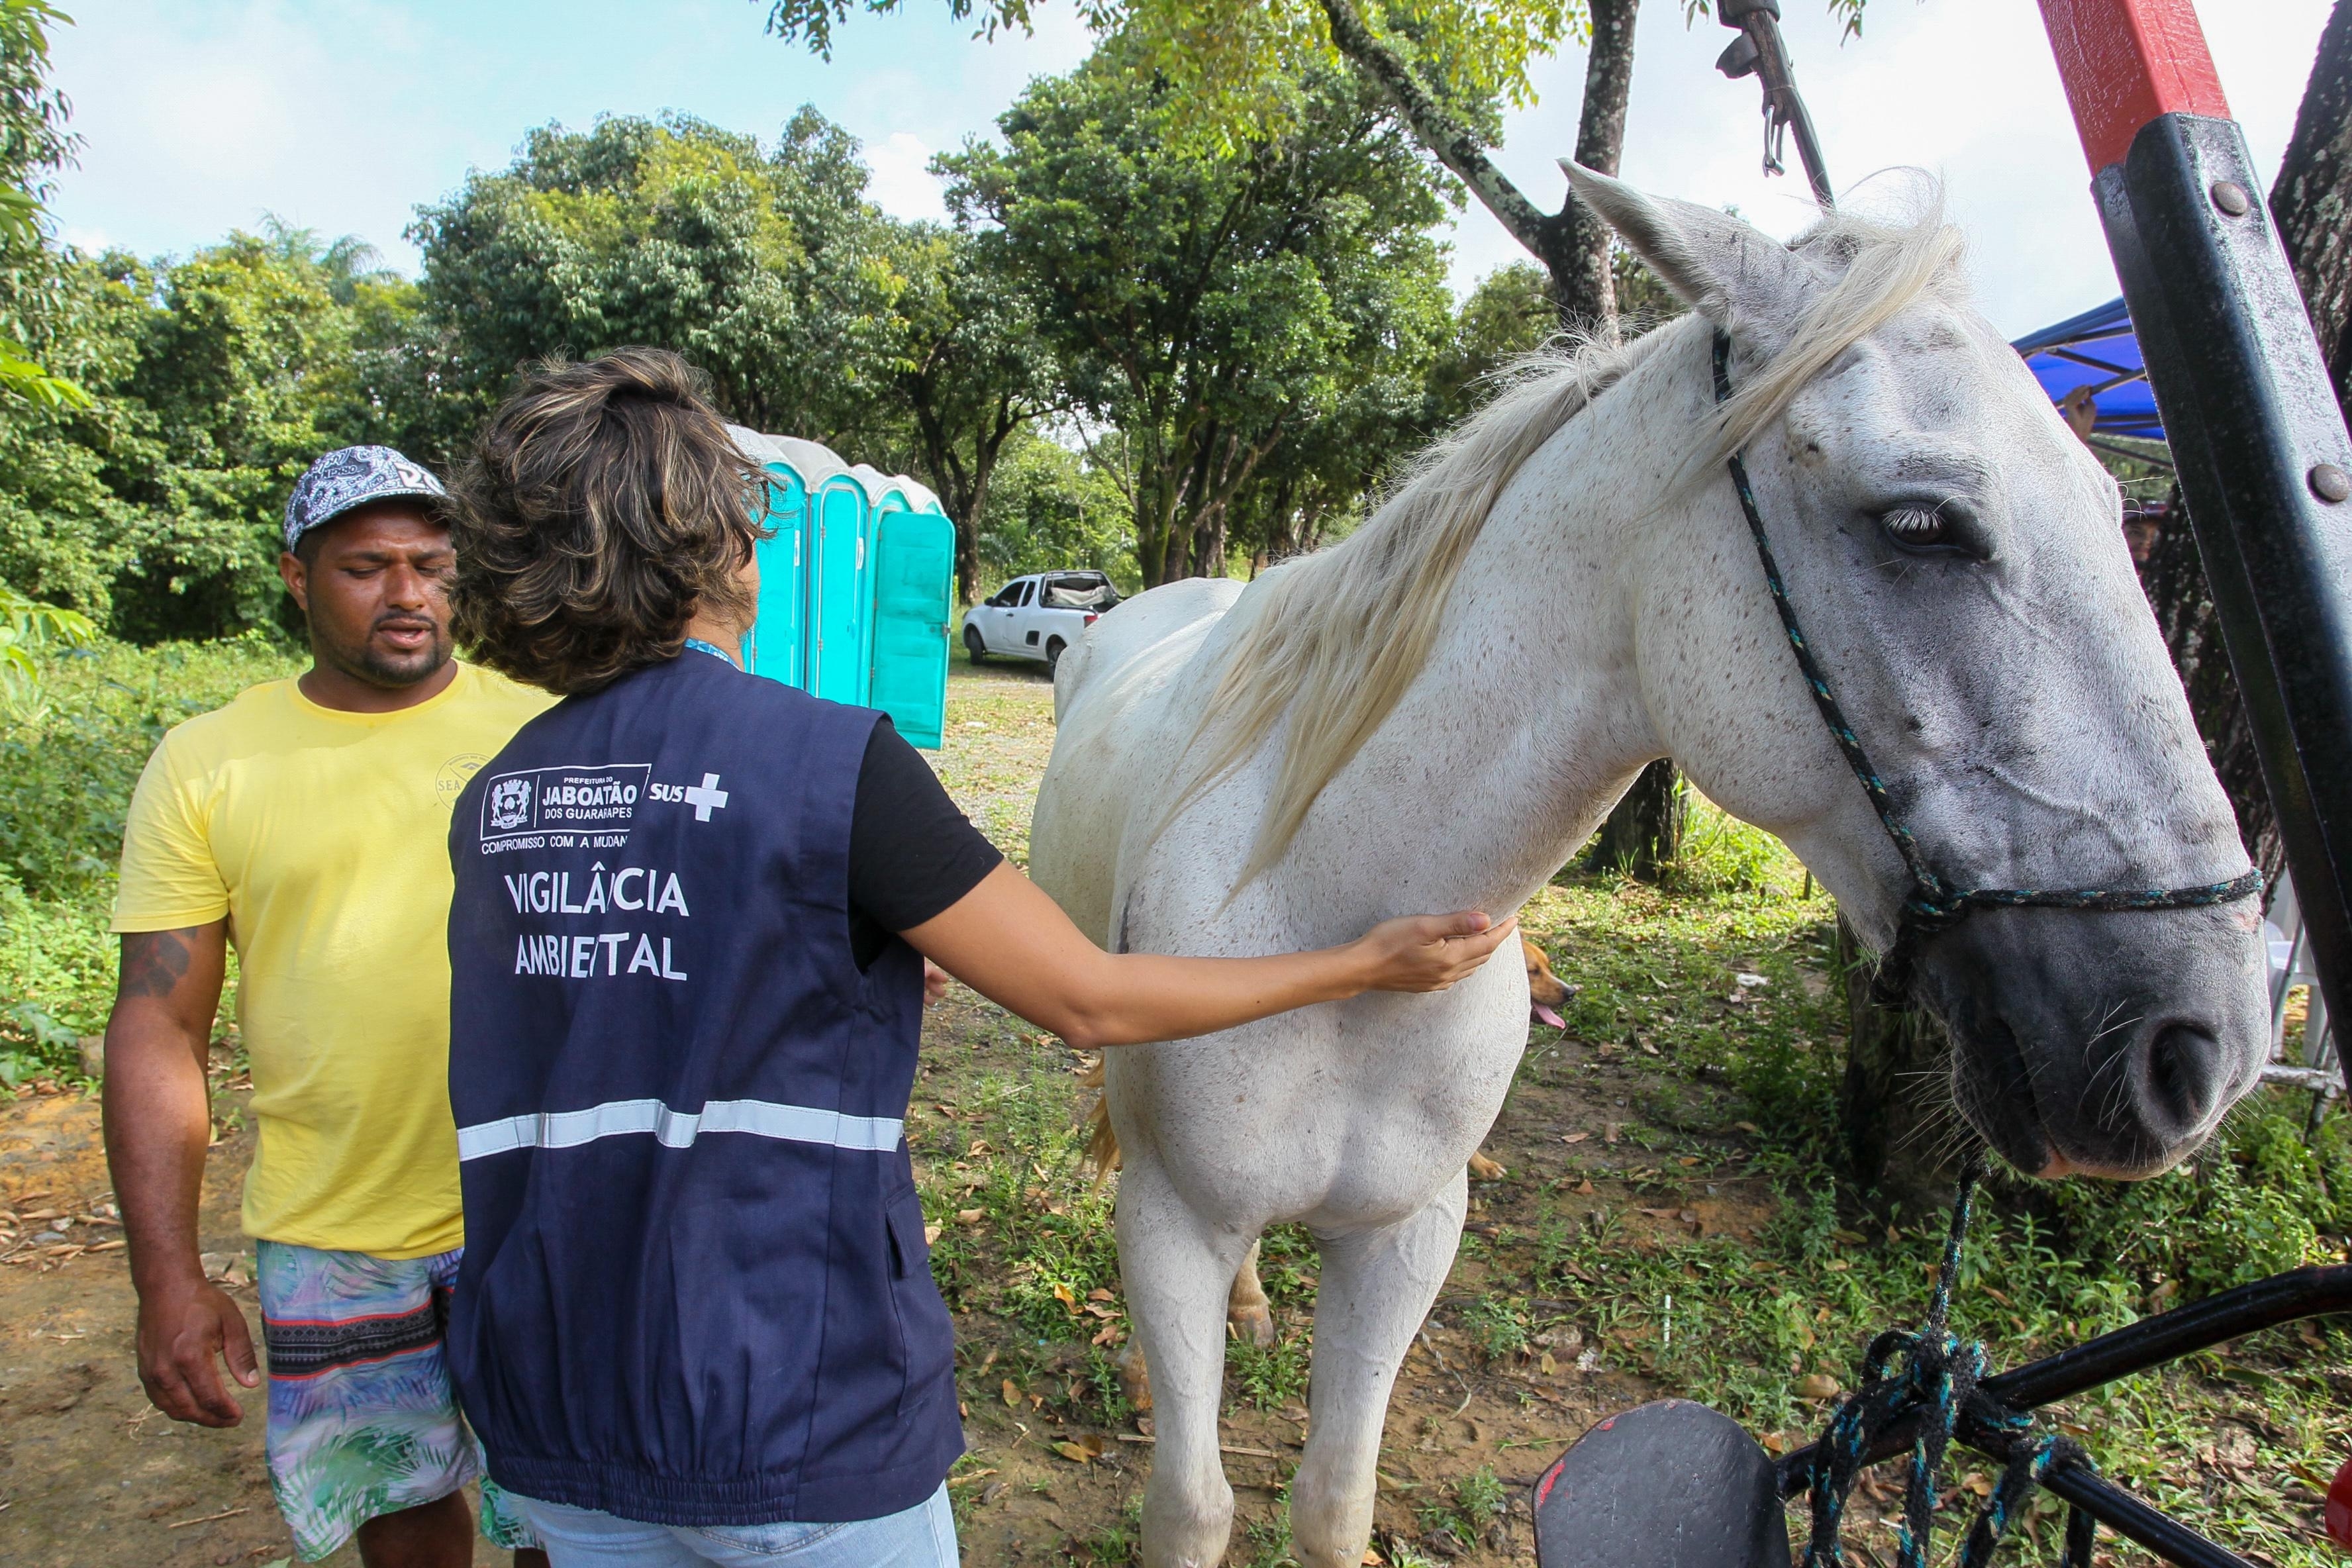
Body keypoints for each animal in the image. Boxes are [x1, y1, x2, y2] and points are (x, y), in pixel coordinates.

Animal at [1020, 172, 2267, 1568]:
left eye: (2118, 514)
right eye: (1919, 523)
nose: (2200, 1045)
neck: (1321, 912)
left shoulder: (1405, 1239)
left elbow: (1333, 1501)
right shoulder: (1170, 1229)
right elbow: (1190, 1507)